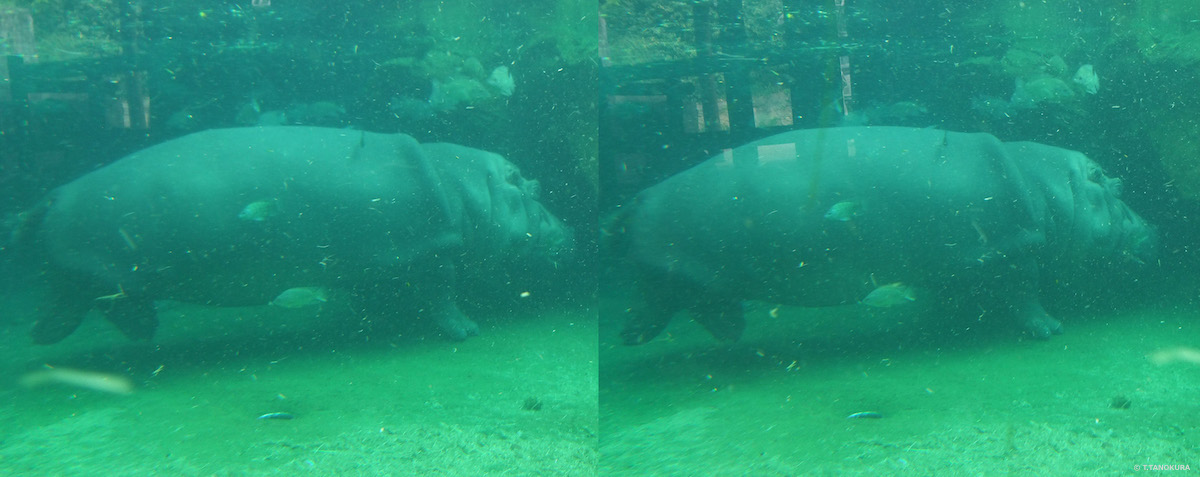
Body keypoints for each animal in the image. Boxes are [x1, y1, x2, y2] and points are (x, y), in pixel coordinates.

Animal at [13, 126, 573, 344]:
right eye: (531, 185)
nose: (570, 229)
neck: (464, 187)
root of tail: (52, 196)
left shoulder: (377, 262)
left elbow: (377, 295)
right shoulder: (433, 252)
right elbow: (444, 295)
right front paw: (466, 330)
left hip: (92, 272)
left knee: (75, 308)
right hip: (96, 268)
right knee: (89, 303)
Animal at [614, 127, 1154, 344]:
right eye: (1112, 182)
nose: (1152, 227)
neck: (1047, 186)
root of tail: (638, 199)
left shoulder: (957, 262)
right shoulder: (1013, 249)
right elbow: (1026, 293)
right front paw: (1050, 329)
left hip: (685, 277)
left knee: (671, 306)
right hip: (673, 270)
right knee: (667, 301)